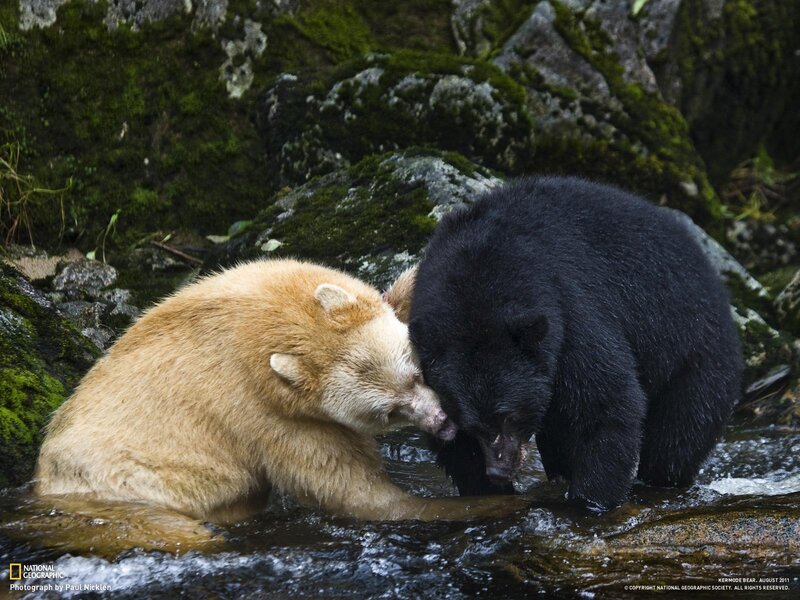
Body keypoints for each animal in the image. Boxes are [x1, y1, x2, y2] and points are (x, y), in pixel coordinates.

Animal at [35, 259, 523, 522]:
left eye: (417, 374)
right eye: (389, 412)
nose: (443, 423)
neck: (268, 318)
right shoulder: (269, 413)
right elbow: (350, 487)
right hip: (140, 484)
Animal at [401, 177, 744, 511]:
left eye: (510, 415)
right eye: (472, 425)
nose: (499, 470)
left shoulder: (569, 312)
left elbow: (606, 401)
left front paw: (589, 502)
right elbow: (453, 443)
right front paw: (485, 491)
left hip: (697, 355)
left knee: (678, 434)